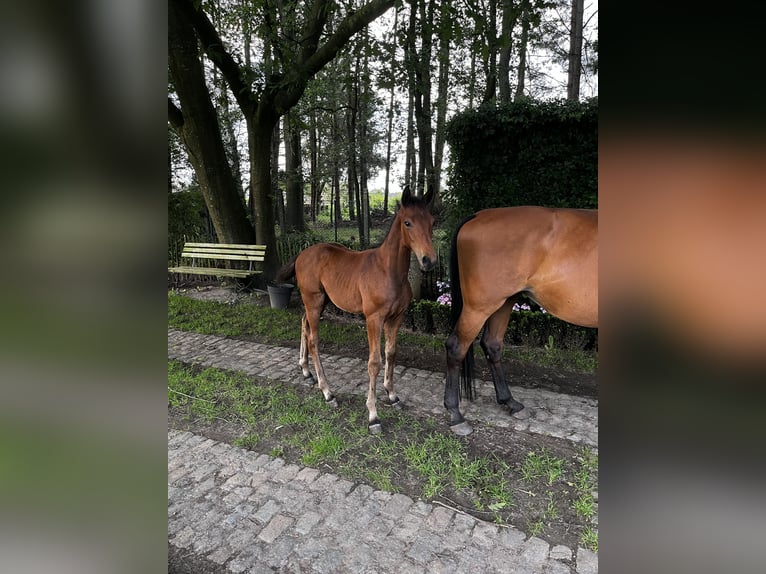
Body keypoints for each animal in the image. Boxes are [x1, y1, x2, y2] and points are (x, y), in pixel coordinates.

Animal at [276, 187, 436, 434]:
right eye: (408, 222)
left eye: (432, 222)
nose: (429, 261)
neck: (388, 271)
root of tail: (302, 254)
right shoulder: (373, 319)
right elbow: (374, 362)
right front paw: (373, 415)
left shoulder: (396, 317)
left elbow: (391, 353)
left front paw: (392, 395)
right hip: (314, 301)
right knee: (313, 340)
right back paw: (327, 392)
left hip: (319, 302)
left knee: (303, 323)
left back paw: (305, 371)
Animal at [444, 207, 600, 436]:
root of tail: (479, 215)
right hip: (479, 307)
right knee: (456, 347)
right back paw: (455, 414)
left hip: (505, 301)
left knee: (492, 345)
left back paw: (510, 402)